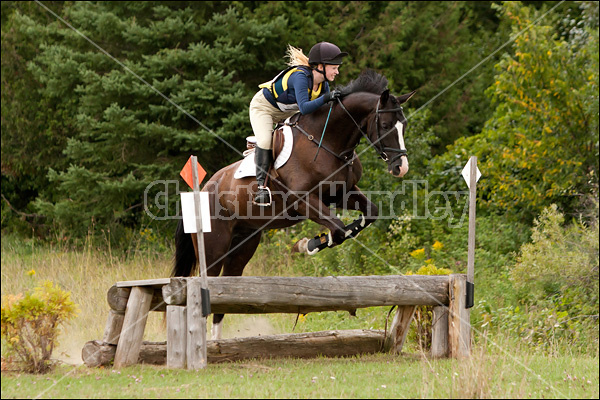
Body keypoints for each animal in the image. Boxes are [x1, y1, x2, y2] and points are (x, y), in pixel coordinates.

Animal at [171, 69, 414, 338]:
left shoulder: (342, 193)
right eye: (385, 125)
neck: (327, 141)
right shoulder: (303, 200)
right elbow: (339, 228)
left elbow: (368, 214)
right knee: (212, 282)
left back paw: (216, 341)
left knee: (228, 287)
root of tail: (204, 188)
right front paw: (309, 244)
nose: (401, 167)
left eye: (404, 126)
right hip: (214, 246)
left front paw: (317, 241)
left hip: (244, 244)